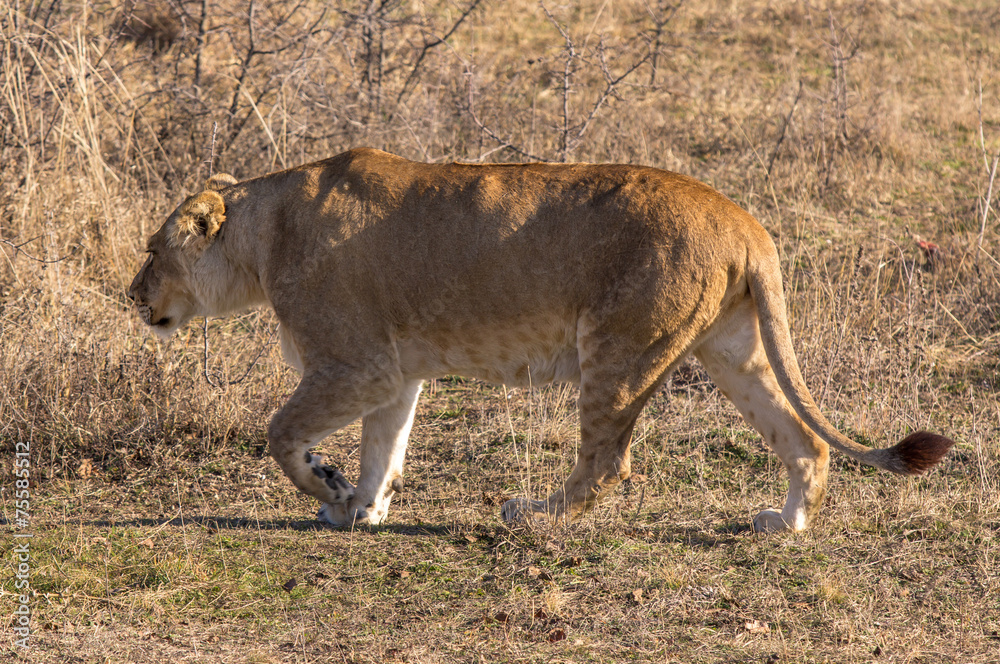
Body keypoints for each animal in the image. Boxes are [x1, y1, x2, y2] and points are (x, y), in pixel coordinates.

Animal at [128, 148, 953, 532]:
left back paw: (532, 514)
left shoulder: (353, 366)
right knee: (802, 439)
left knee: (610, 461)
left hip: (619, 347)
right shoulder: (393, 372)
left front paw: (328, 492)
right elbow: (383, 449)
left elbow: (281, 434)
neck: (263, 237)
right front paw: (362, 508)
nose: (131, 297)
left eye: (151, 250)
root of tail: (747, 224)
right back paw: (785, 524)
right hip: (731, 349)